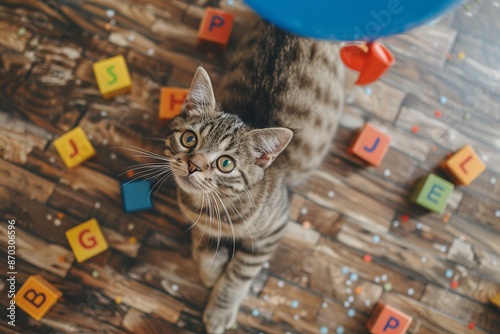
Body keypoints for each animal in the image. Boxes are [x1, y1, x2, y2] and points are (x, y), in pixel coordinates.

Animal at [164, 19, 344, 332]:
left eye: (225, 164)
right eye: (189, 139)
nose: (193, 165)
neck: (216, 206)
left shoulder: (273, 231)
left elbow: (239, 274)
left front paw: (220, 308)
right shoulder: (197, 218)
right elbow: (204, 241)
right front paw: (211, 268)